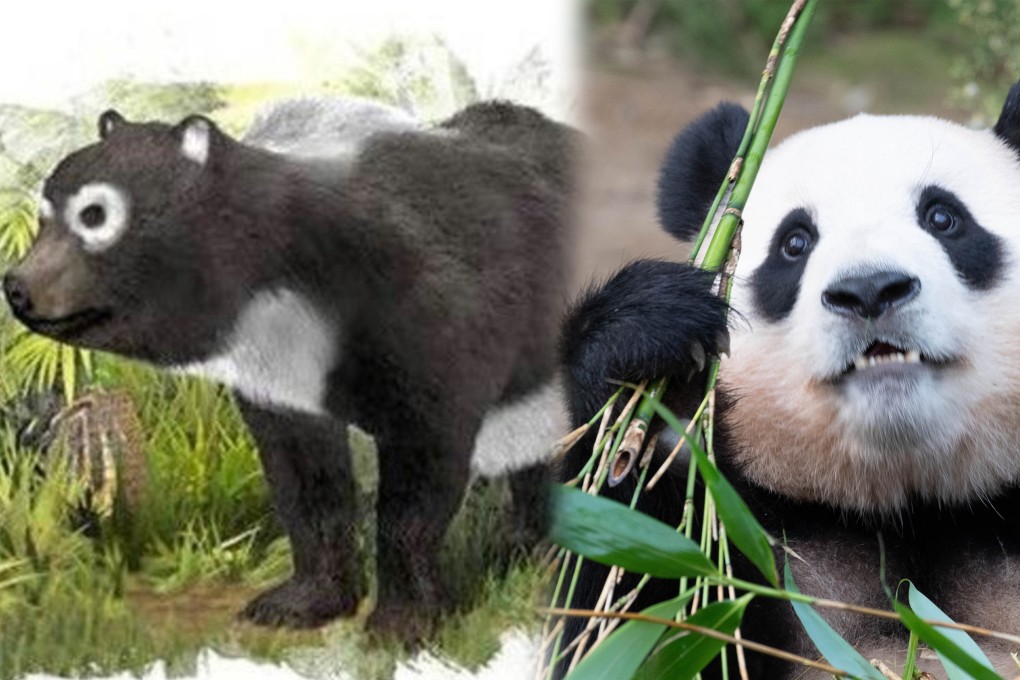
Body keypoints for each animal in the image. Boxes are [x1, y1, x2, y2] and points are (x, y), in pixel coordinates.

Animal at [3, 97, 574, 643]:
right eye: (44, 212)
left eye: (95, 215)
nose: (17, 286)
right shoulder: (280, 363)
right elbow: (305, 476)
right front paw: (299, 602)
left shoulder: (432, 317)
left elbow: (419, 469)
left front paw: (403, 622)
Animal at [557, 83, 1020, 678]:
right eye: (794, 243)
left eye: (943, 218)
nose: (870, 290)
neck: (905, 506)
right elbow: (623, 615)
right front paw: (647, 357)